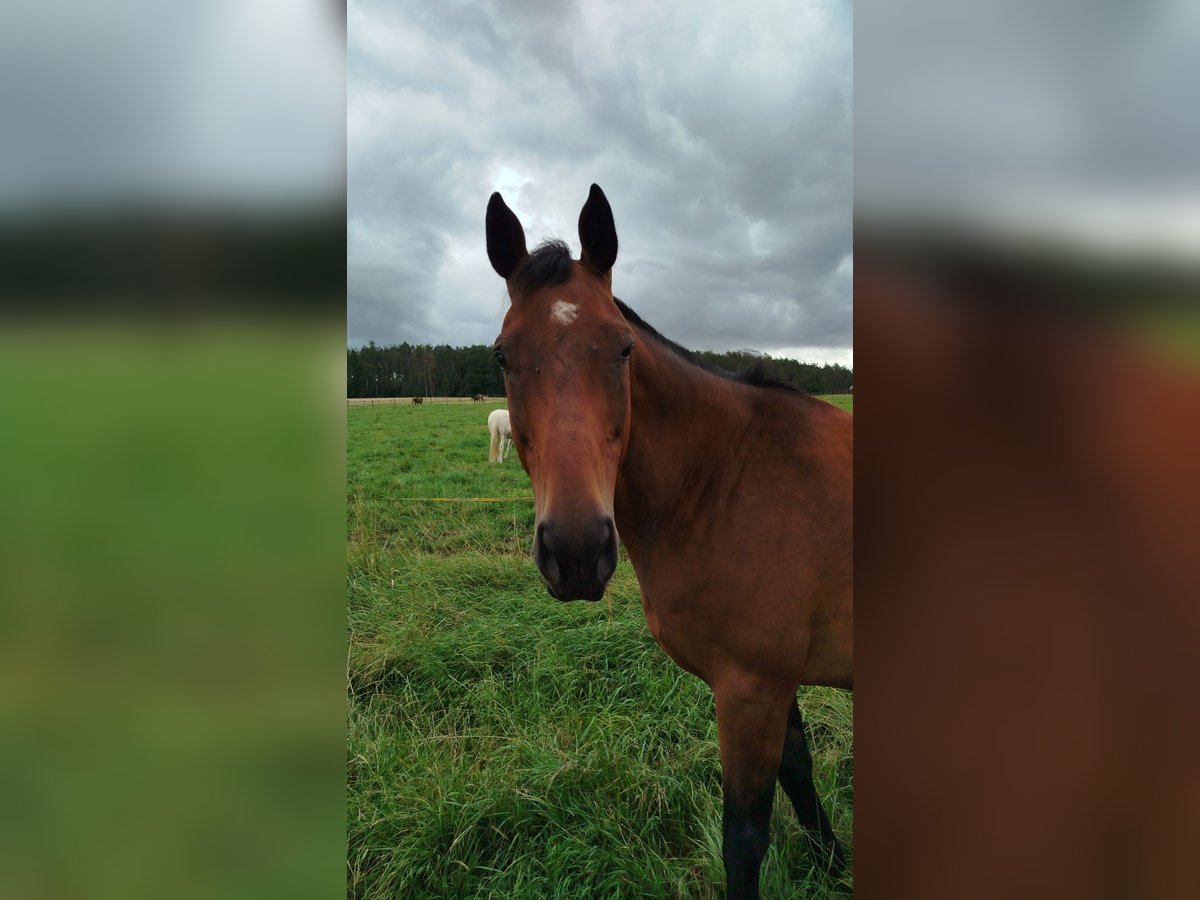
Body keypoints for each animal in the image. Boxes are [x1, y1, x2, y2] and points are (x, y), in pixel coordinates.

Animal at [487, 187, 854, 897]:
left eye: (623, 349)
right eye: (502, 356)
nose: (576, 550)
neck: (723, 478)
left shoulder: (749, 690)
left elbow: (744, 839)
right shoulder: (776, 683)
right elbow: (799, 773)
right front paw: (835, 860)